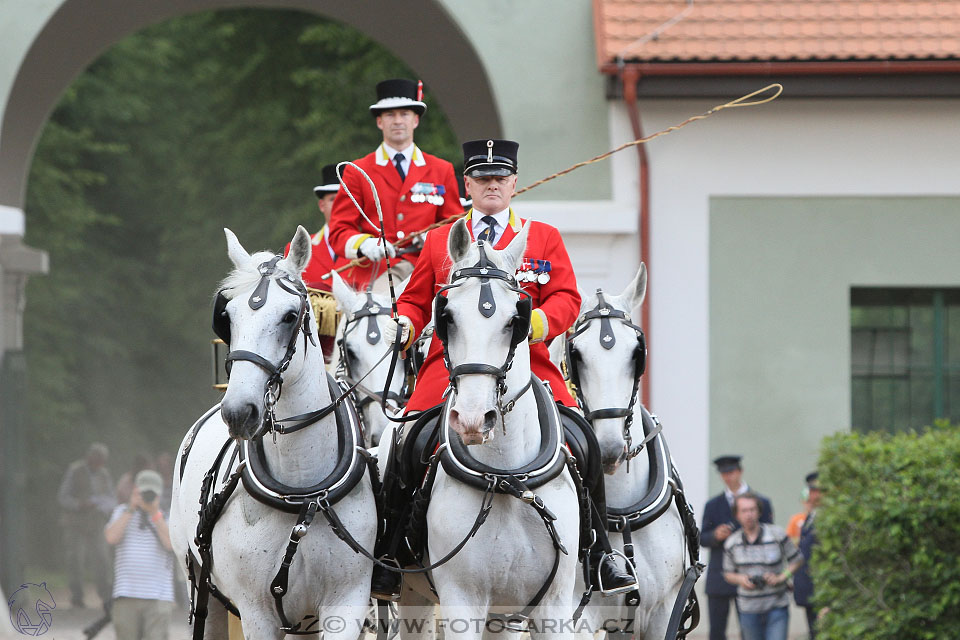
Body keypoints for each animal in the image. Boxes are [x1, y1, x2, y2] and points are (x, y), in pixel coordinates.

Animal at [169, 229, 376, 640]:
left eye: (290, 316)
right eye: (228, 317)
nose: (238, 412)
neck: (303, 490)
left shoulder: (347, 601)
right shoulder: (256, 611)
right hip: (200, 583)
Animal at [418, 221, 576, 640]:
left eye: (514, 321)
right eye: (447, 317)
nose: (475, 419)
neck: (506, 477)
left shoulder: (554, 606)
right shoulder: (461, 602)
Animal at [568, 262, 692, 636]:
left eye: (637, 353)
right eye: (576, 354)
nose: (608, 449)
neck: (622, 512)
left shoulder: (663, 610)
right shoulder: (579, 617)